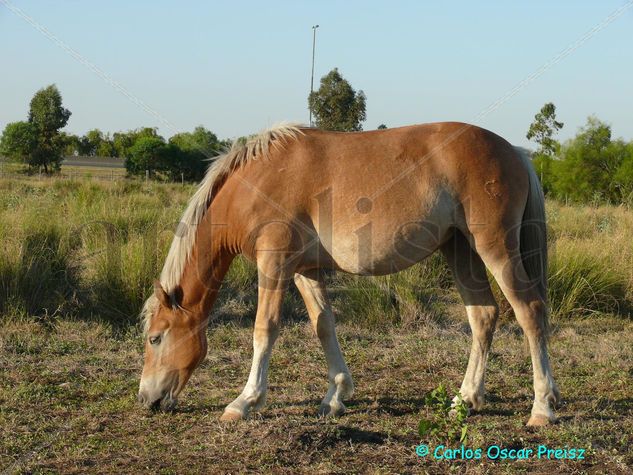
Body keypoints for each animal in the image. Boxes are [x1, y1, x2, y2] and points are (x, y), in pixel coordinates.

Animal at [137, 122, 556, 428]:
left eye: (156, 338)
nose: (146, 399)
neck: (257, 181)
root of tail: (514, 152)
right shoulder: (304, 270)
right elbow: (324, 325)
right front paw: (335, 396)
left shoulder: (274, 263)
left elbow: (264, 330)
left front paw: (245, 401)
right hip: (461, 250)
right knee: (483, 316)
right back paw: (464, 400)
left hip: (495, 248)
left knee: (530, 312)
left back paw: (542, 408)